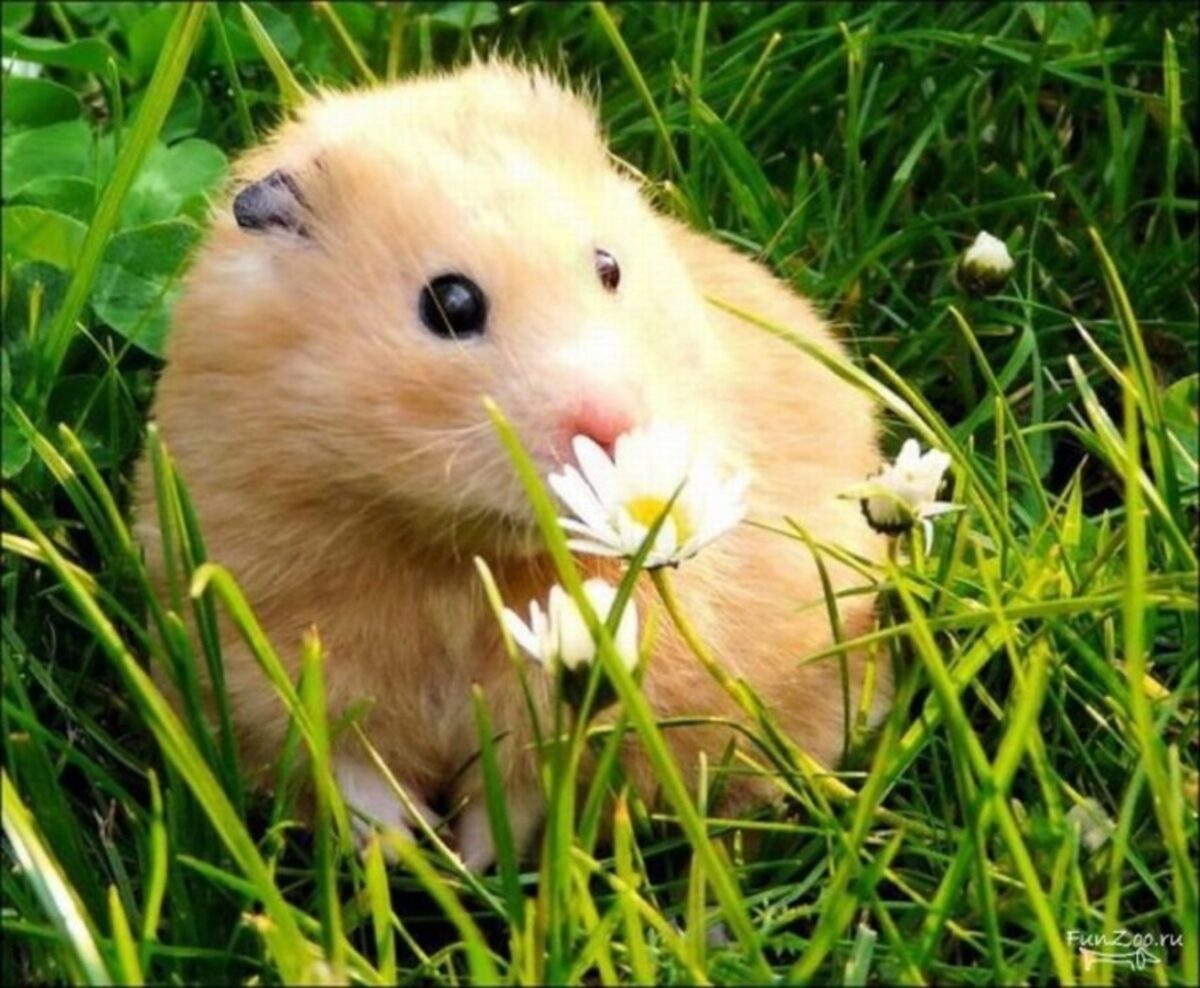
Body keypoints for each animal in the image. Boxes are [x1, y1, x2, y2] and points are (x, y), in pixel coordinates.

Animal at [136, 61, 892, 869]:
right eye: (450, 303)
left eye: (610, 266)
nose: (615, 427)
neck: (447, 551)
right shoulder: (264, 641)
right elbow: (345, 763)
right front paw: (407, 851)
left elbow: (522, 790)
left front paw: (471, 865)